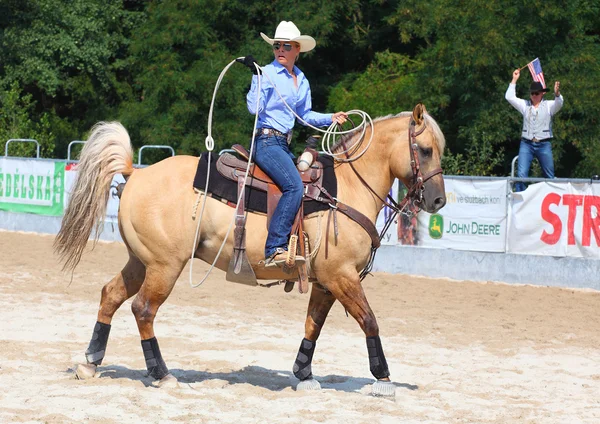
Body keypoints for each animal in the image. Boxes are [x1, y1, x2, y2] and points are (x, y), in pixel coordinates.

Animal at [55, 104, 446, 396]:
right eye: (425, 150)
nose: (438, 201)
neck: (346, 188)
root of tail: (135, 173)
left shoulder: (325, 282)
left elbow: (313, 326)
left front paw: (304, 373)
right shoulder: (342, 276)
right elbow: (369, 320)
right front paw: (383, 378)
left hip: (142, 261)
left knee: (110, 295)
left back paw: (90, 362)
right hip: (165, 265)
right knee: (143, 309)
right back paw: (162, 374)